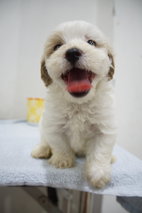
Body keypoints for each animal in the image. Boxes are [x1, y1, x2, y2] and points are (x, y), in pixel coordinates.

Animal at [32, 20, 116, 188]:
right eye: (57, 46)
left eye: (91, 42)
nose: (72, 52)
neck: (79, 104)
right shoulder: (53, 126)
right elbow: (59, 145)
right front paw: (63, 160)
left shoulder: (104, 128)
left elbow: (100, 151)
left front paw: (98, 173)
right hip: (42, 127)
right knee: (44, 141)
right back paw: (41, 150)